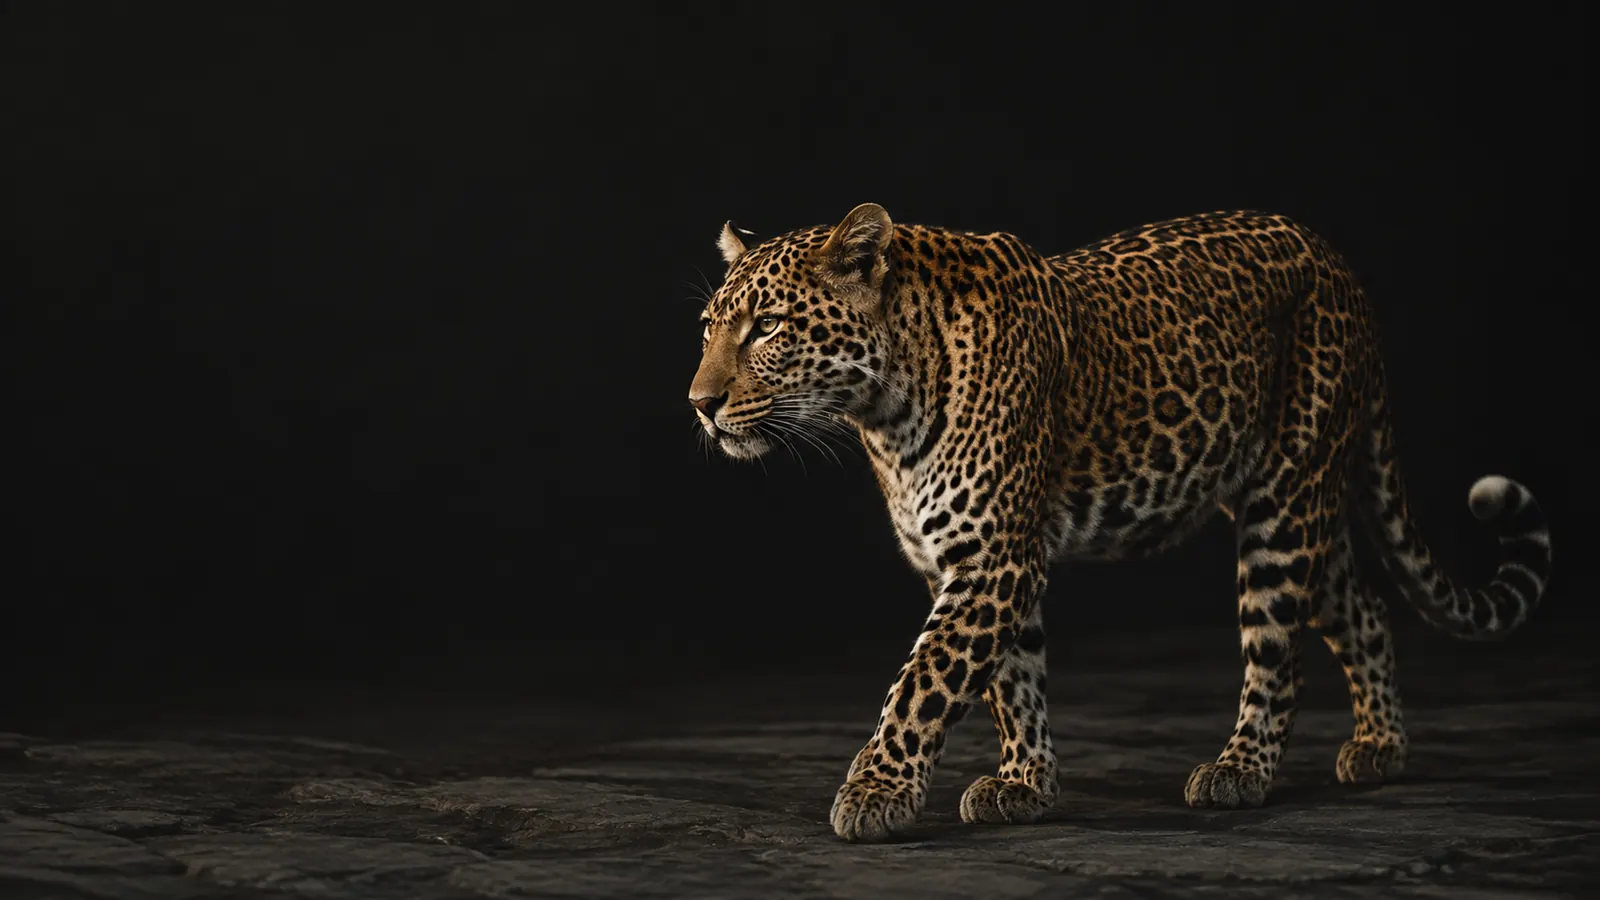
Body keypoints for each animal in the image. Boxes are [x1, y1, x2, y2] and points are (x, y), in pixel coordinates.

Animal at [685, 203, 1553, 843]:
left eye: (768, 327)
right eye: (708, 327)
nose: (700, 403)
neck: (883, 410)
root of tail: (1333, 258)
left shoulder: (992, 561)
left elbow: (923, 681)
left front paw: (874, 793)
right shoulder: (975, 563)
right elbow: (1011, 681)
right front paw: (1026, 784)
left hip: (1284, 505)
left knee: (1278, 652)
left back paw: (1241, 772)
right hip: (1295, 501)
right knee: (1364, 608)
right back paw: (1380, 748)